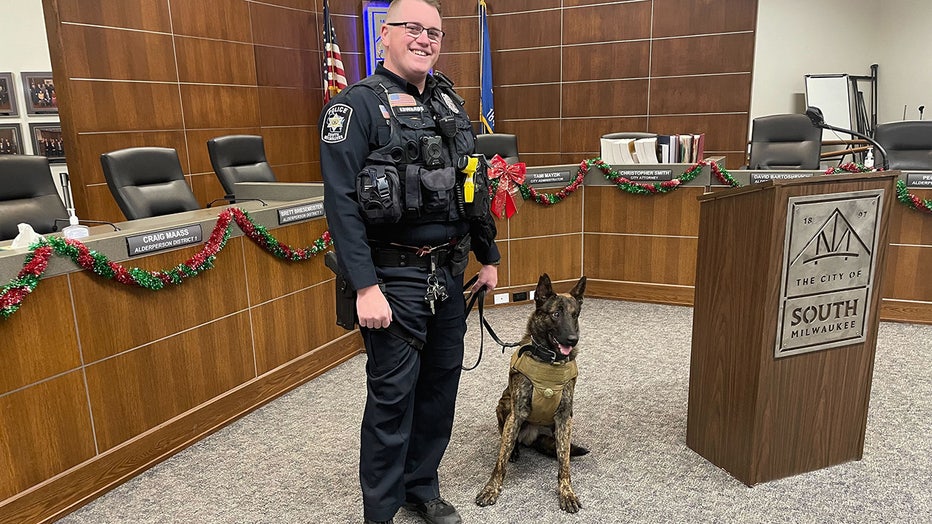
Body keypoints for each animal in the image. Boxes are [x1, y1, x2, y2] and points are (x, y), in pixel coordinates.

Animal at [476, 273, 587, 513]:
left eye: (575, 315)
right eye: (556, 314)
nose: (572, 339)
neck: (550, 360)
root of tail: (531, 437)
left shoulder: (564, 417)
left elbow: (564, 464)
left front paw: (567, 491)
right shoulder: (517, 413)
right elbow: (500, 461)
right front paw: (491, 488)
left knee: (559, 447)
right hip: (504, 405)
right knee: (509, 440)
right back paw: (516, 451)